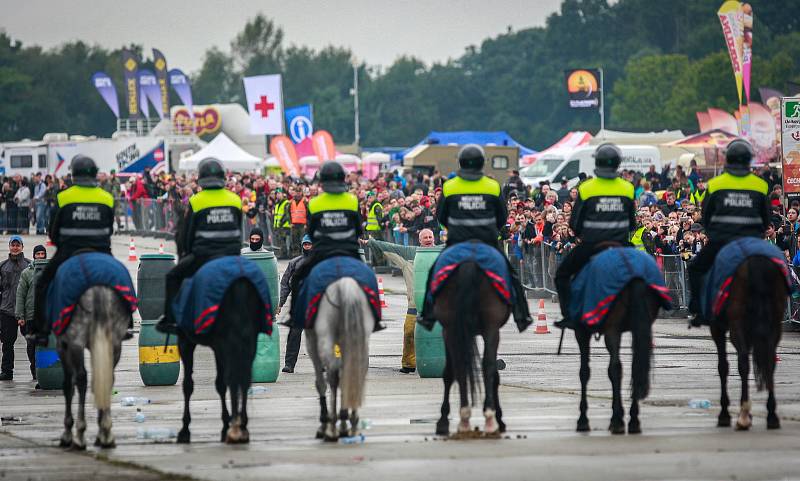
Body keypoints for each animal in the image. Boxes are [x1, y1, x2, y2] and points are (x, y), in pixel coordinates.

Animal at [434, 260, 510, 436]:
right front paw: (499, 417)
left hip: (454, 329)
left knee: (460, 367)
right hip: (487, 327)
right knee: (485, 365)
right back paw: (488, 419)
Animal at [576, 278, 664, 432]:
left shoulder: (581, 330)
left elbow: (584, 372)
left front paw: (583, 419)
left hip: (612, 328)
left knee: (615, 368)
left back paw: (617, 420)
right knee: (636, 368)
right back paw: (633, 420)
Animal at [712, 256, 788, 430]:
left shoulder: (717, 326)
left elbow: (723, 367)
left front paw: (724, 414)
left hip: (737, 323)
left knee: (743, 362)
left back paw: (744, 416)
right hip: (774, 323)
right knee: (769, 362)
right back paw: (771, 416)